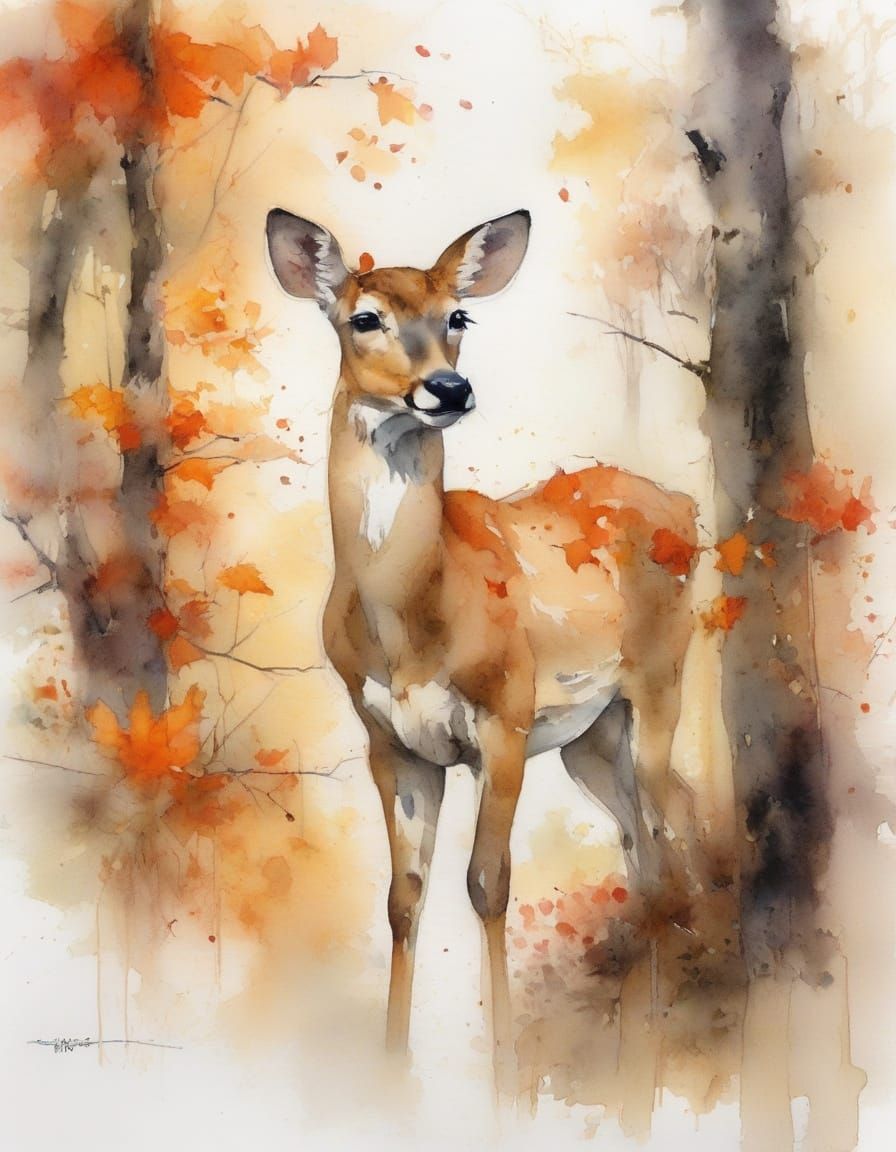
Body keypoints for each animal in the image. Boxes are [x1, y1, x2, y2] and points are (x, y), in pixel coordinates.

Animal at [266, 207, 700, 1095]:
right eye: (365, 317)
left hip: (660, 680)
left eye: (458, 316)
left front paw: (502, 1078)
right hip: (591, 737)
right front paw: (392, 1074)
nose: (449, 389)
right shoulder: (391, 741)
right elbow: (404, 898)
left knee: (674, 820)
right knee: (648, 841)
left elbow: (488, 884)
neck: (414, 622)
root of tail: (688, 508)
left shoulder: (504, 716)